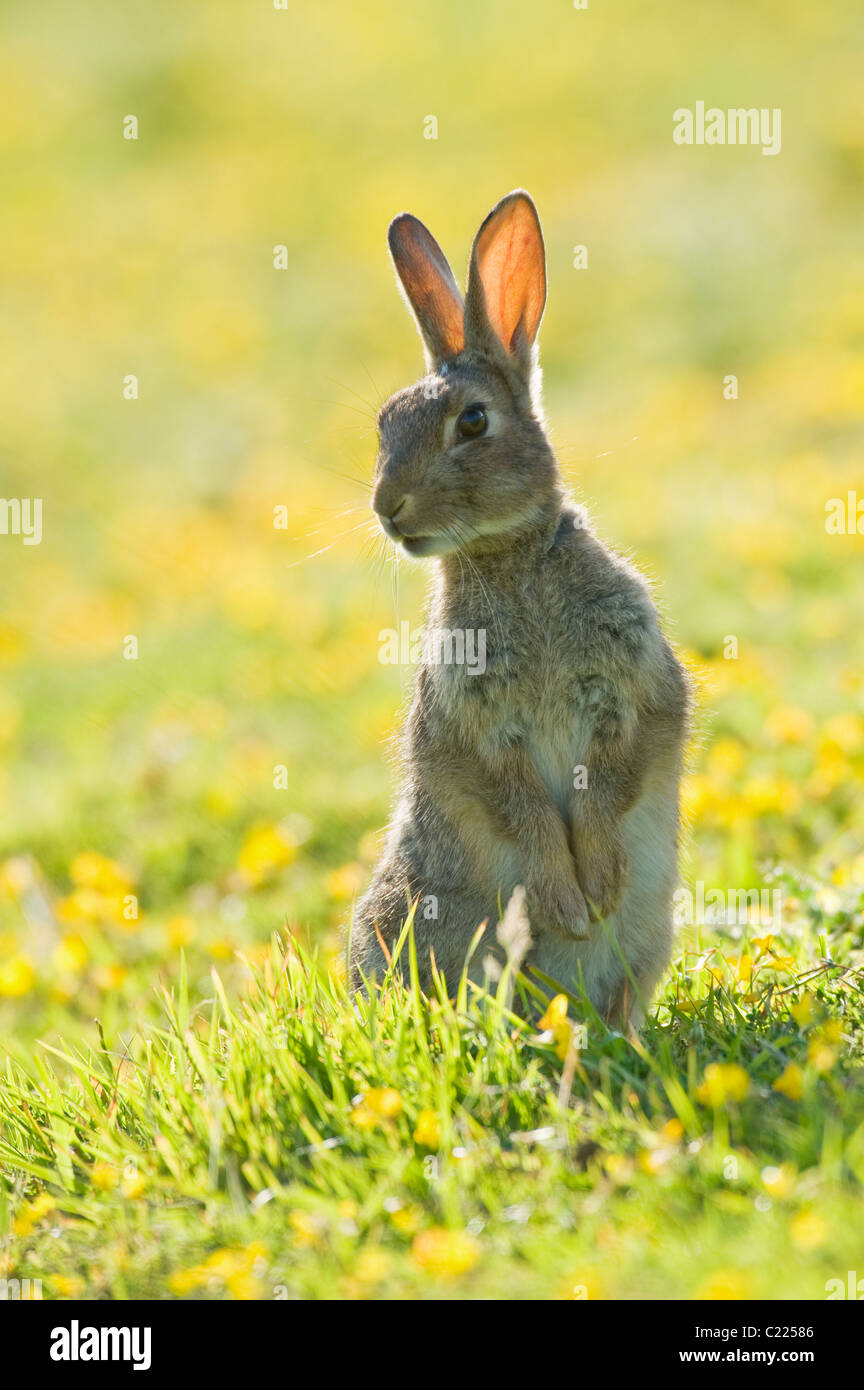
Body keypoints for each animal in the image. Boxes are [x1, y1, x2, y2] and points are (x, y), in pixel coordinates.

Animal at [345, 190, 691, 1028]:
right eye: (384, 426)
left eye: (472, 422)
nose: (387, 508)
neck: (506, 558)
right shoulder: (476, 729)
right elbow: (521, 809)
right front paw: (566, 902)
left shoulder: (631, 693)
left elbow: (609, 782)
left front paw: (597, 886)